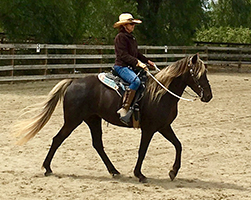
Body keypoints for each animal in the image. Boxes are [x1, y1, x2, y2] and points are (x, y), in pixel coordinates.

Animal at [15, 53, 212, 183]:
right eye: (197, 73)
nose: (208, 96)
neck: (160, 93)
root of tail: (72, 82)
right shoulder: (149, 129)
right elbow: (142, 150)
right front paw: (139, 174)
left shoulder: (163, 126)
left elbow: (178, 145)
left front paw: (173, 171)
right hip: (72, 121)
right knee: (57, 139)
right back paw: (47, 168)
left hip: (93, 119)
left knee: (97, 144)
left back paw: (114, 170)